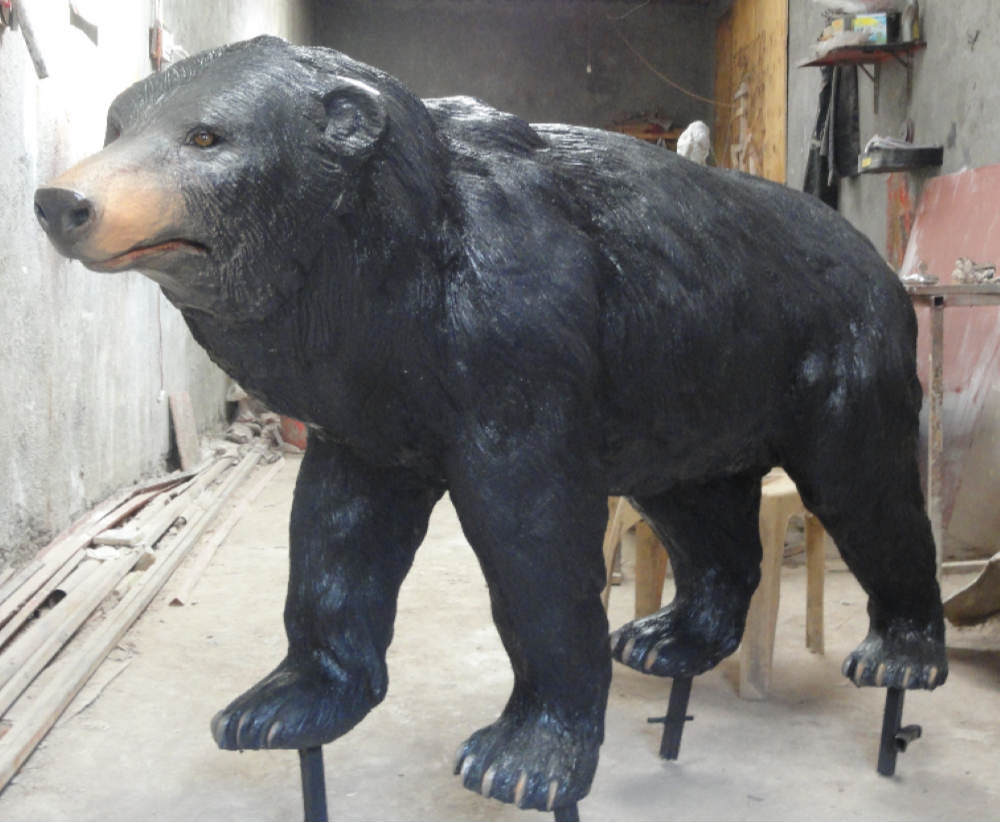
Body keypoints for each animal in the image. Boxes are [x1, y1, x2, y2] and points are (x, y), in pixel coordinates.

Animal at [34, 36, 946, 814]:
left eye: (205, 135)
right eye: (119, 125)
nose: (61, 200)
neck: (380, 267)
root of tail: (872, 254)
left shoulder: (513, 328)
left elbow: (532, 539)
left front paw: (523, 759)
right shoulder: (370, 395)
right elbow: (335, 530)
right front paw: (280, 704)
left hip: (833, 352)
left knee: (869, 490)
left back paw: (898, 652)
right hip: (690, 385)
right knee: (699, 508)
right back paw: (668, 637)